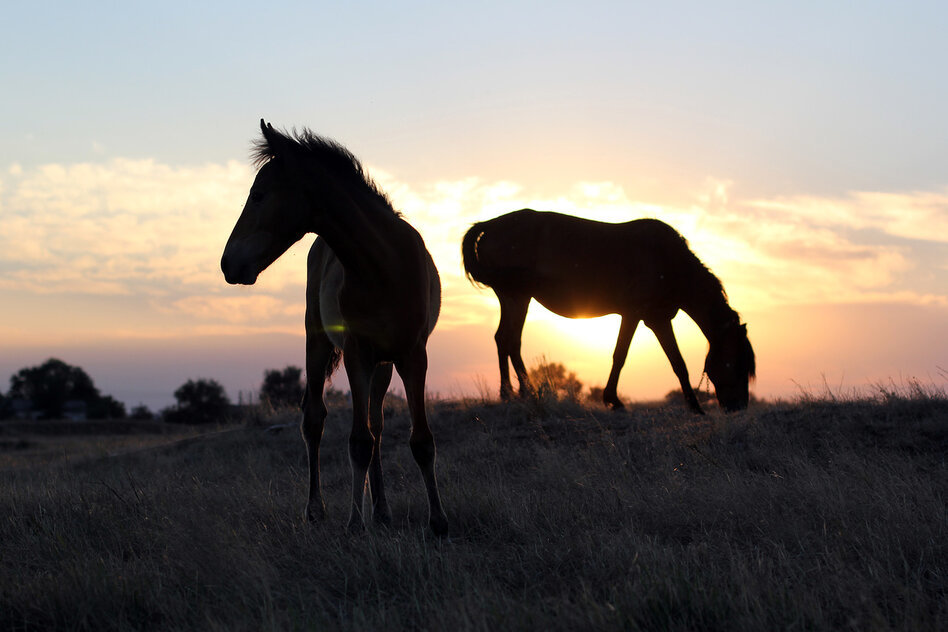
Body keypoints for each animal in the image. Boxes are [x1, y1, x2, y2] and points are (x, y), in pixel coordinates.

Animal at [222, 119, 448, 532]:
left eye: (258, 195)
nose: (228, 263)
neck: (382, 265)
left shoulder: (413, 355)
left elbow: (420, 440)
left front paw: (438, 521)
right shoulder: (357, 353)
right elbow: (358, 442)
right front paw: (355, 523)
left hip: (383, 365)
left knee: (376, 424)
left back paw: (382, 511)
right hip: (319, 344)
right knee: (315, 420)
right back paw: (317, 509)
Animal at [460, 209, 756, 414]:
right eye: (738, 363)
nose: (739, 407)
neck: (669, 261)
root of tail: (489, 225)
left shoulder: (654, 318)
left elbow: (669, 361)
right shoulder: (643, 316)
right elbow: (635, 357)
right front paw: (615, 400)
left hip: (514, 298)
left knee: (506, 340)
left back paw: (515, 393)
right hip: (517, 296)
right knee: (509, 340)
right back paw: (519, 392)